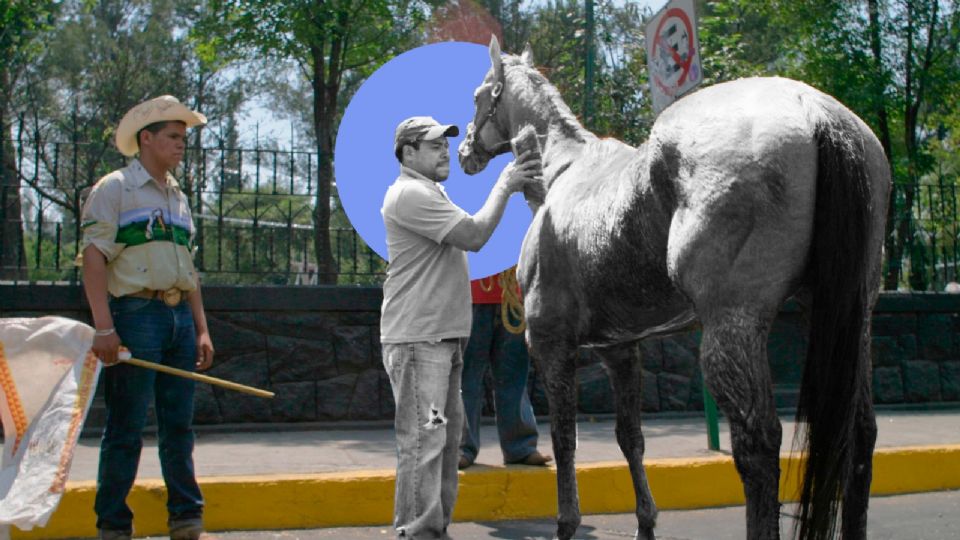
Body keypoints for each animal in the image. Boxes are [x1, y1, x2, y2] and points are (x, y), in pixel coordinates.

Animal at [458, 35, 892, 536]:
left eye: (478, 95)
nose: (465, 150)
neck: (560, 171)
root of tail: (815, 110)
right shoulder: (620, 349)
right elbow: (630, 438)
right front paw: (646, 522)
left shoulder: (550, 342)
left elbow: (565, 440)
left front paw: (567, 522)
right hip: (853, 320)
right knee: (860, 436)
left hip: (731, 329)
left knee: (758, 444)